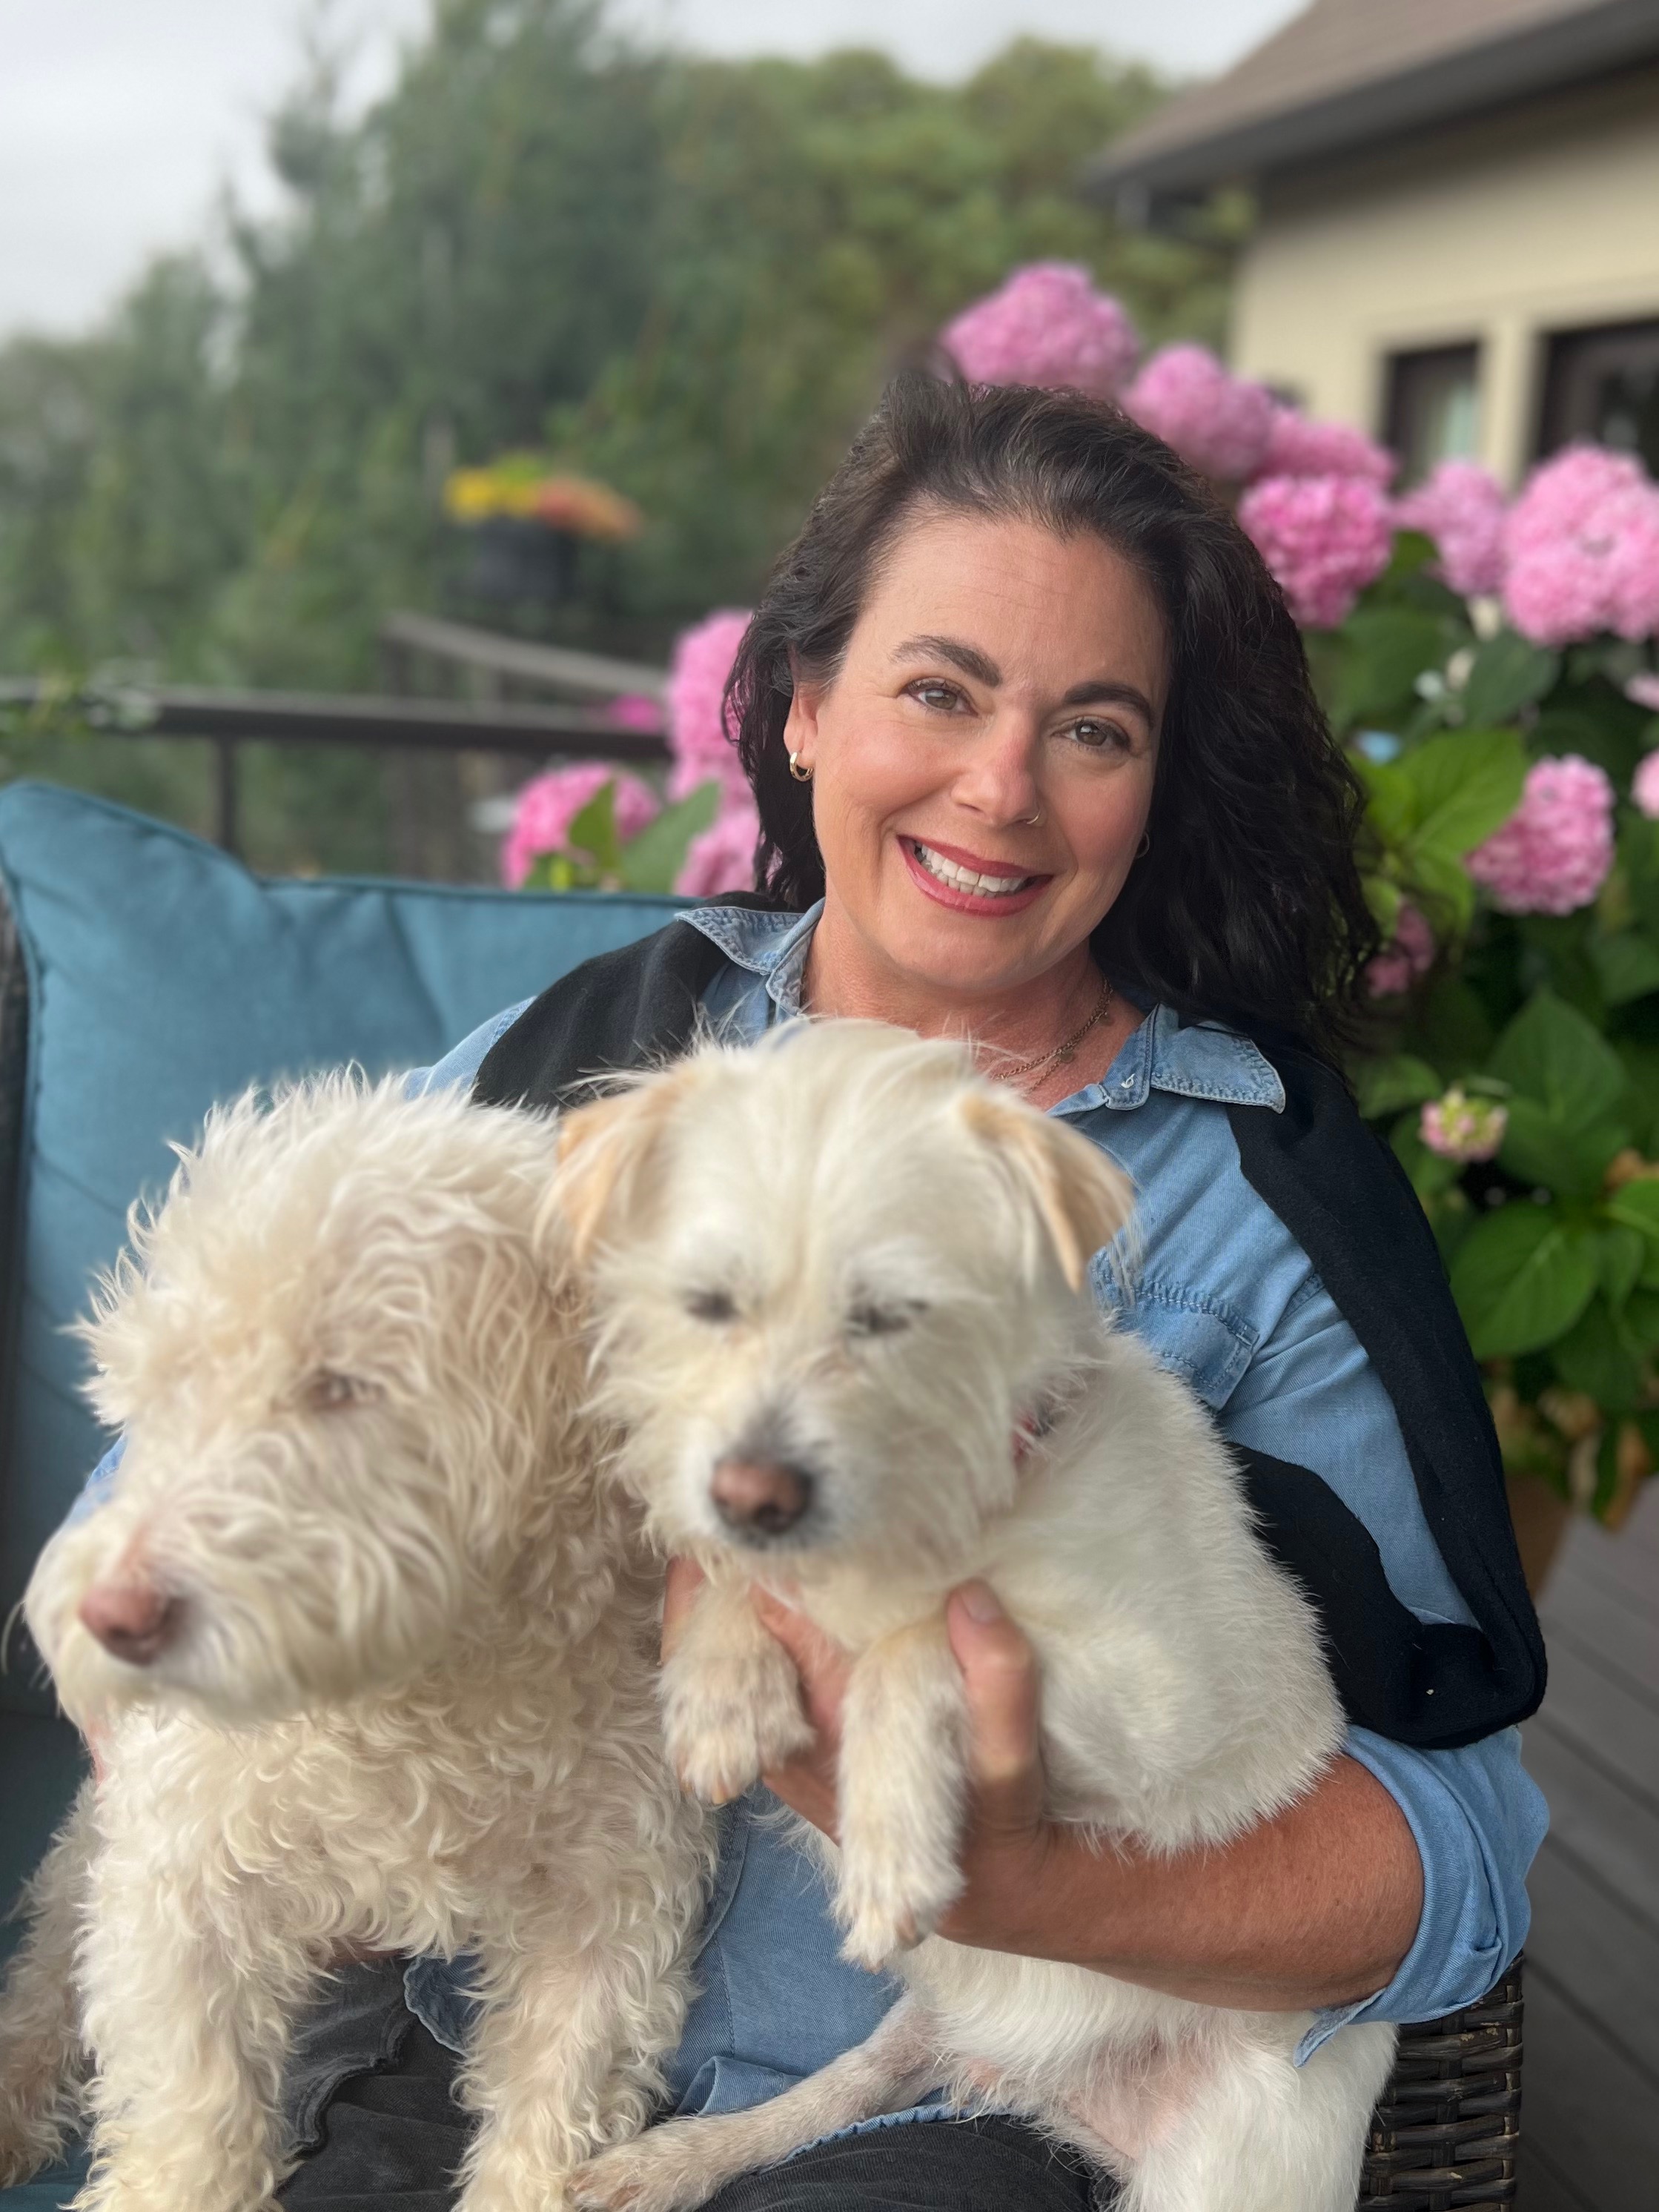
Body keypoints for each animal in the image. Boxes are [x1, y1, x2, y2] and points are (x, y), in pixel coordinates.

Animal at [0, 1076, 711, 2212]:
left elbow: (556, 2098)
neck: (420, 1695)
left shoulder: (616, 1885)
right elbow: (190, 2112)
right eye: (162, 1392)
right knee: (42, 1972)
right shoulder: (178, 1865)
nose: (112, 1616)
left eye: (339, 1385)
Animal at [545, 1020, 1396, 2212]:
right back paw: (675, 2157)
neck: (913, 1524)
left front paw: (890, 1827)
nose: (755, 1495)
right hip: (916, 2026)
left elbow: (914, 1647)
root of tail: (1058, 2088)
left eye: (892, 1316)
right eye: (707, 1304)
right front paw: (720, 1692)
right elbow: (736, 1580)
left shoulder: (1149, 1703)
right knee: (840, 2090)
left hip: (1218, 2172)